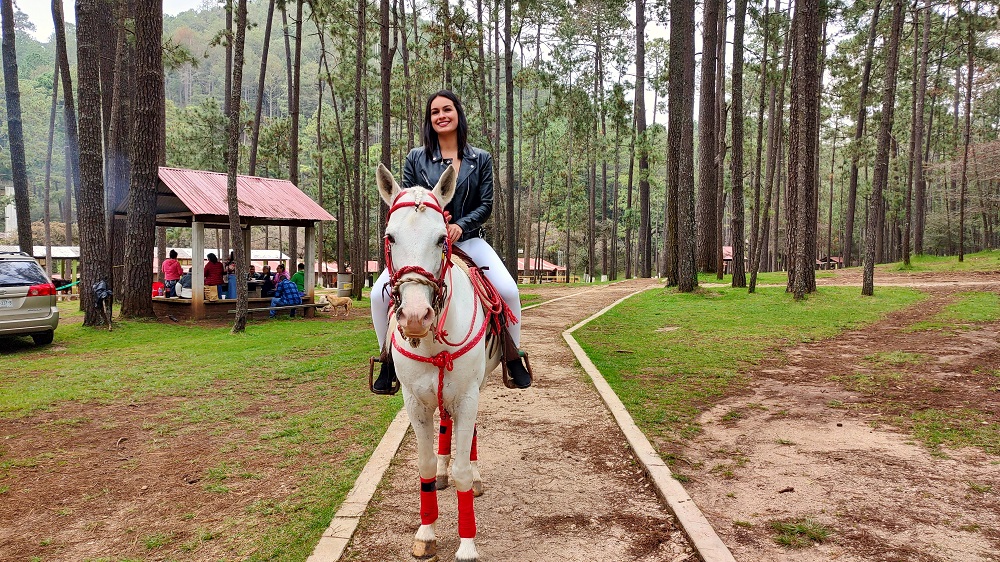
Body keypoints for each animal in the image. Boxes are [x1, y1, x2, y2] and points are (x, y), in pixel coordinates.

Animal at [376, 160, 500, 556]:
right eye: (390, 237)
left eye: (441, 238)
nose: (416, 317)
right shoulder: (414, 401)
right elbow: (426, 465)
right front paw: (426, 532)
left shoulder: (468, 394)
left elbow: (462, 466)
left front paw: (467, 545)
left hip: (476, 387)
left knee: (468, 433)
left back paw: (475, 474)